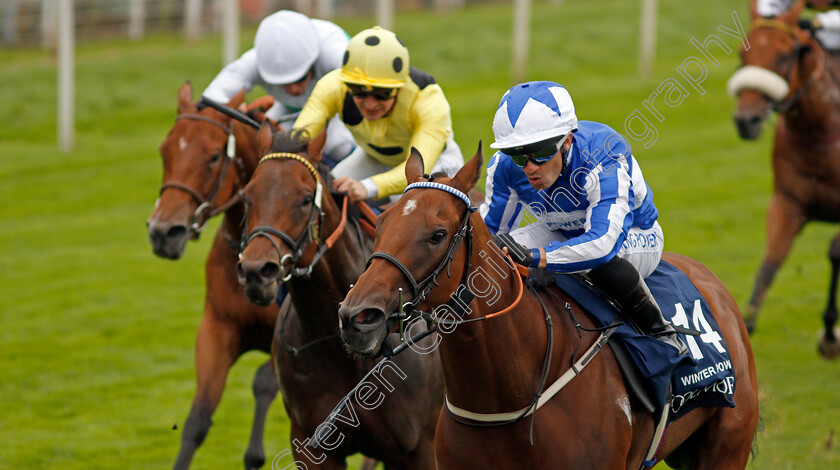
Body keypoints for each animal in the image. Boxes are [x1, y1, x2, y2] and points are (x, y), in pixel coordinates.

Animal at [148, 80, 282, 466]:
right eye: (164, 152)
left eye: (212, 156)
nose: (163, 233)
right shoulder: (217, 329)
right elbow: (197, 421)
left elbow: (263, 382)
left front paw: (254, 454)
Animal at [728, 0, 840, 356]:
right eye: (742, 54)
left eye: (783, 55)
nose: (746, 120)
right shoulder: (787, 202)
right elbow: (768, 267)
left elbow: (835, 251)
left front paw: (829, 334)